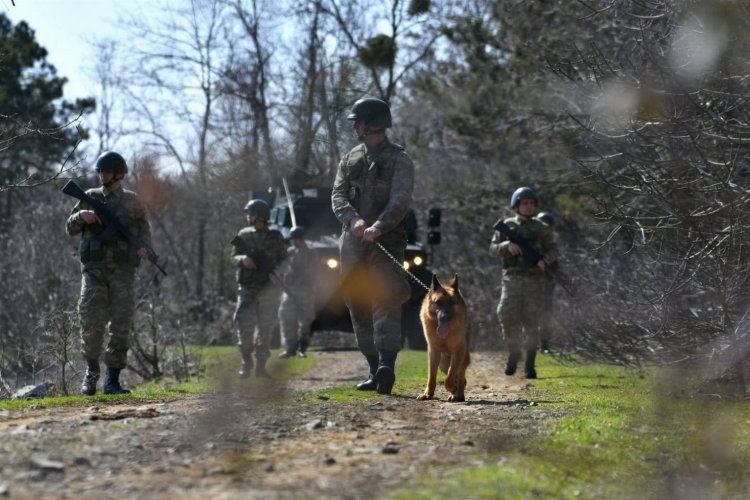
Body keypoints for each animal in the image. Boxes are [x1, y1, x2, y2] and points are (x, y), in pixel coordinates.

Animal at [414, 274, 472, 402]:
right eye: (438, 302)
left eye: (452, 303)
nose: (444, 317)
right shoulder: (433, 351)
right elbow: (431, 377)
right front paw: (428, 394)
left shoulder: (458, 351)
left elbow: (449, 378)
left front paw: (453, 388)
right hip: (443, 363)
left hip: (461, 358)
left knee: (461, 378)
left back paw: (458, 394)